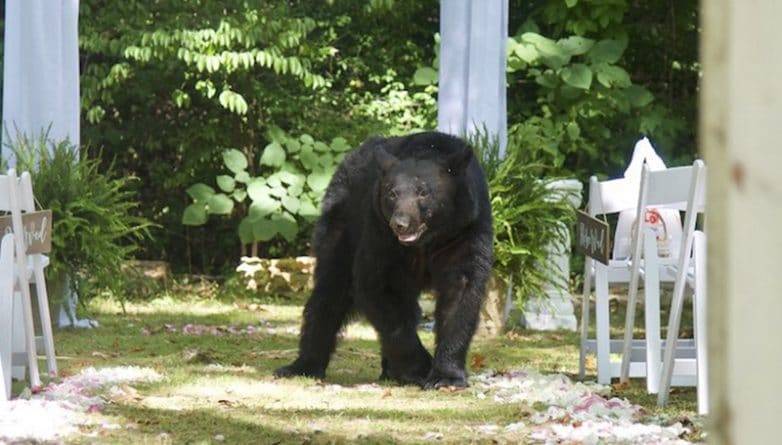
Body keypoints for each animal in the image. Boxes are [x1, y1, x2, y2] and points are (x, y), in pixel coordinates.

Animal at [276, 130, 494, 386]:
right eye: (392, 192)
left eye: (423, 192)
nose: (400, 223)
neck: (426, 242)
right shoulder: (381, 234)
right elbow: (378, 287)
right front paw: (420, 368)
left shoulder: (464, 231)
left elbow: (461, 290)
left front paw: (446, 377)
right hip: (342, 223)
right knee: (331, 289)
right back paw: (304, 365)